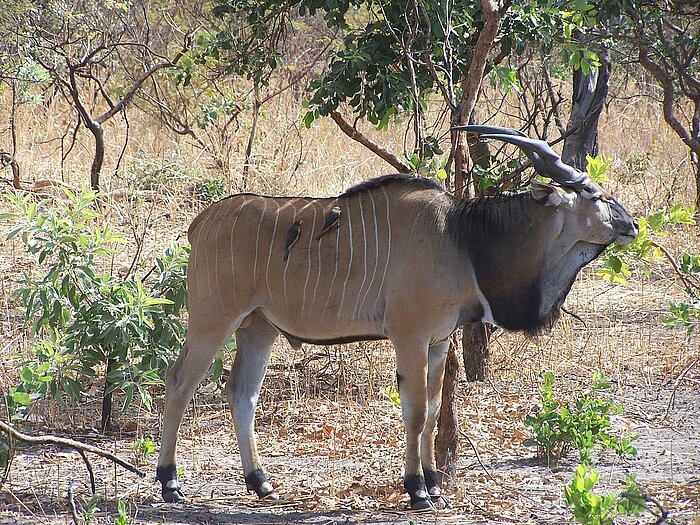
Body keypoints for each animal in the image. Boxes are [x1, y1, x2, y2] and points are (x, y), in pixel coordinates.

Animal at [156, 126, 636, 508]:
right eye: (595, 196)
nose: (630, 223)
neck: (461, 238)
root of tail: (201, 222)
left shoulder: (439, 341)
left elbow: (437, 407)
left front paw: (436, 484)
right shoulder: (410, 336)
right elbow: (418, 412)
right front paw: (418, 489)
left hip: (259, 329)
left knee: (242, 393)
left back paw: (261, 483)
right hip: (213, 321)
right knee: (178, 382)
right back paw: (170, 484)